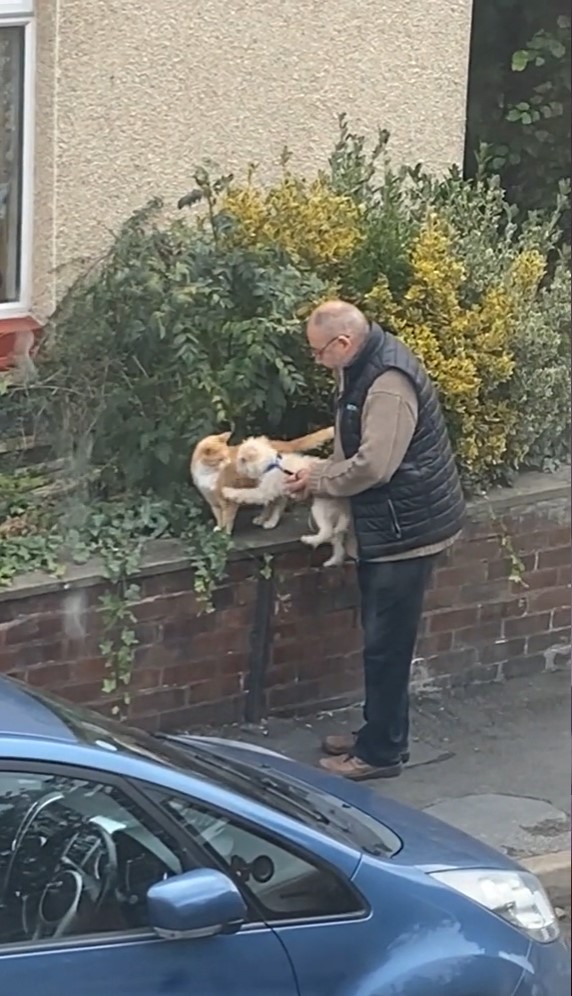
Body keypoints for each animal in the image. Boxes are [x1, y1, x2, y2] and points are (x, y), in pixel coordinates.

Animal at [192, 430, 336, 536]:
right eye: (221, 458)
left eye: (227, 456)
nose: (229, 463)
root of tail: (286, 443)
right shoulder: (212, 501)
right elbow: (219, 517)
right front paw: (219, 529)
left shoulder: (229, 503)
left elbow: (228, 517)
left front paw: (225, 536)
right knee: (269, 504)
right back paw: (261, 519)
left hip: (277, 489)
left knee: (278, 505)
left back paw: (271, 522)